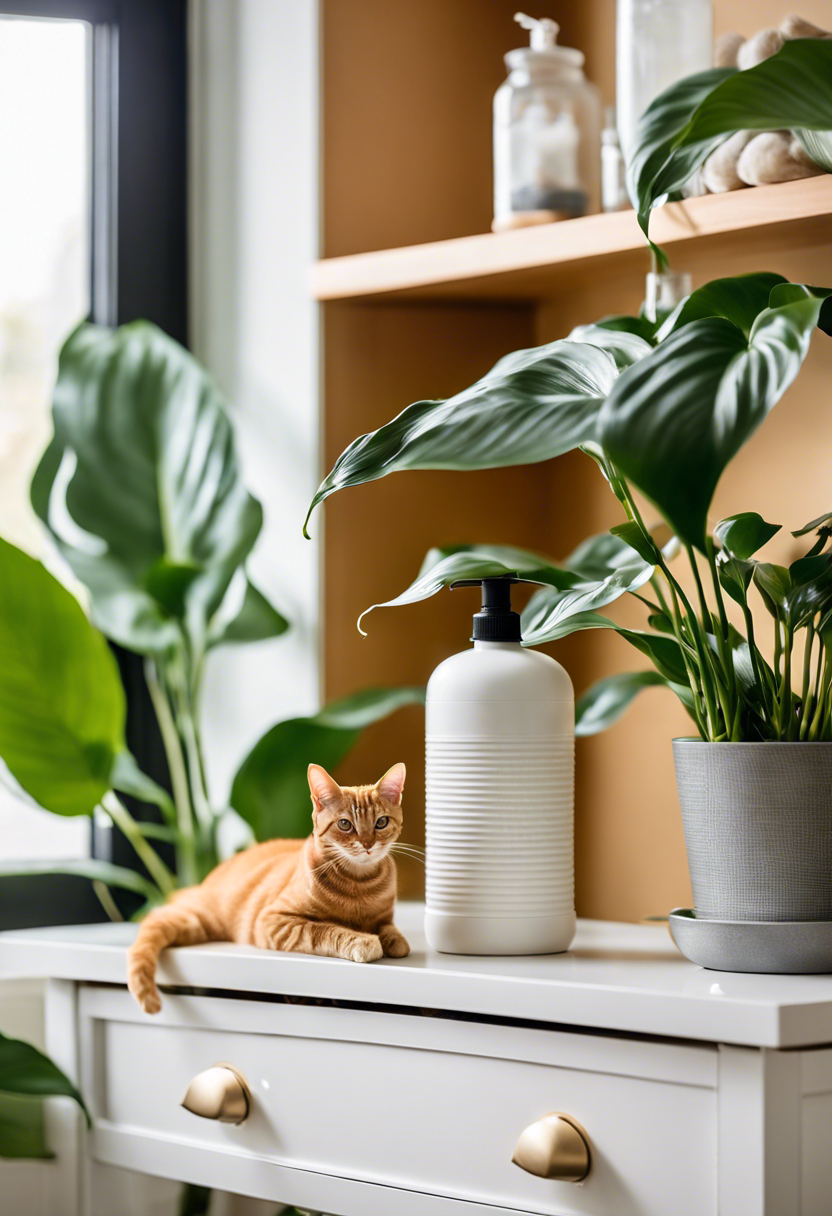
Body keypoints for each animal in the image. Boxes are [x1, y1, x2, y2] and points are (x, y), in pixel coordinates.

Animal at [126, 763, 408, 1011]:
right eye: (345, 824)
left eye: (381, 822)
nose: (368, 845)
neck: (359, 884)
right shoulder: (275, 921)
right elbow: (326, 930)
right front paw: (364, 941)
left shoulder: (384, 917)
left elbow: (391, 931)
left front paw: (393, 939)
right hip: (193, 921)